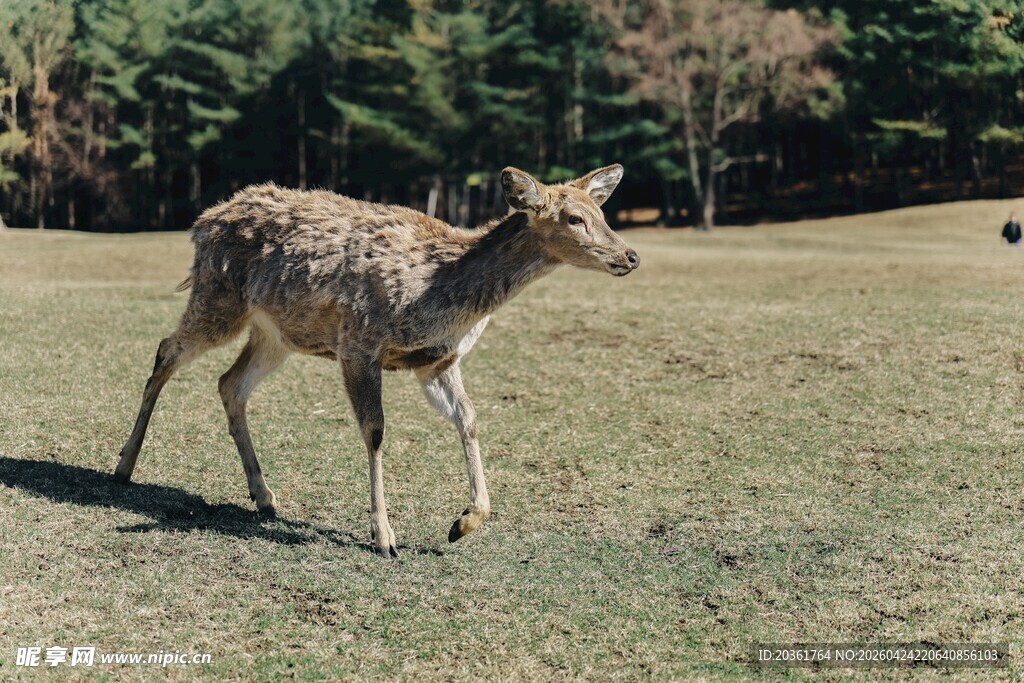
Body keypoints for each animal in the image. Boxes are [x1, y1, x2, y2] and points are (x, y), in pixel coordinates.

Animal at [114, 164, 639, 558]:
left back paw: (263, 496)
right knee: (167, 350)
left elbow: (469, 419)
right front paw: (384, 536)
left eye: (602, 211)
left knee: (229, 383)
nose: (631, 255)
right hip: (217, 299)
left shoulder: (437, 361)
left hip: (276, 333)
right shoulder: (359, 342)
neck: (442, 294)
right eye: (573, 218)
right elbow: (376, 430)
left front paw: (464, 522)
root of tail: (203, 221)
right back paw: (125, 464)